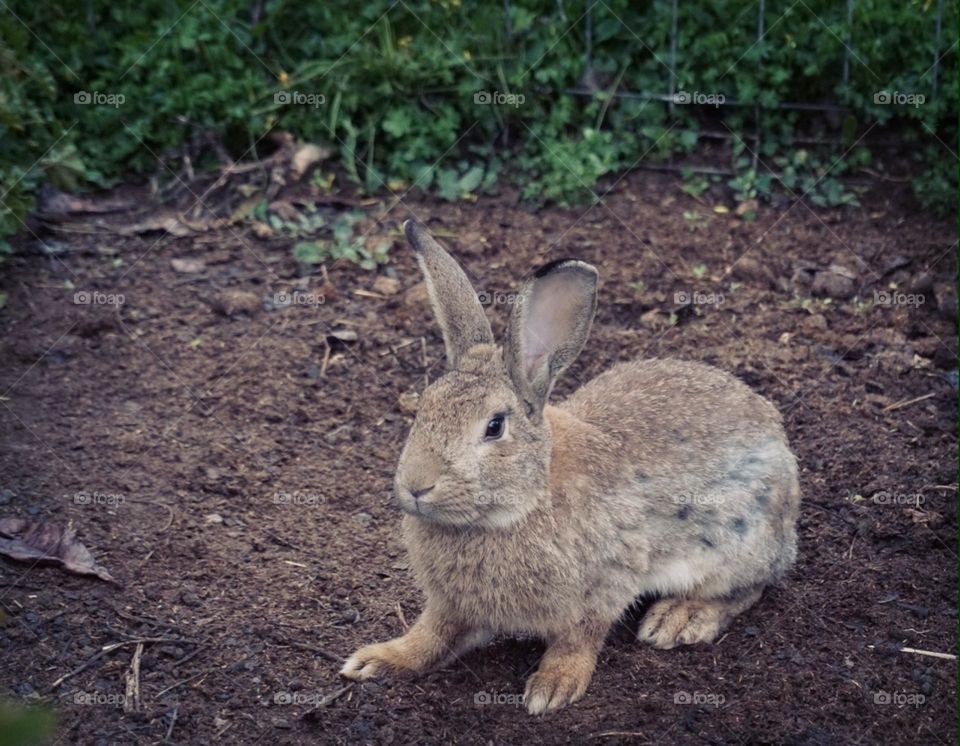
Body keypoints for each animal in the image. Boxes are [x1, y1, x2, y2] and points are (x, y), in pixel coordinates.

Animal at [342, 221, 800, 716]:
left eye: (494, 426)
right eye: (423, 407)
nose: (416, 486)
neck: (523, 500)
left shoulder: (606, 582)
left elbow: (580, 638)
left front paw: (553, 686)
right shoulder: (452, 605)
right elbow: (431, 634)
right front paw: (377, 660)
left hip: (737, 542)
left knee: (749, 587)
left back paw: (679, 618)